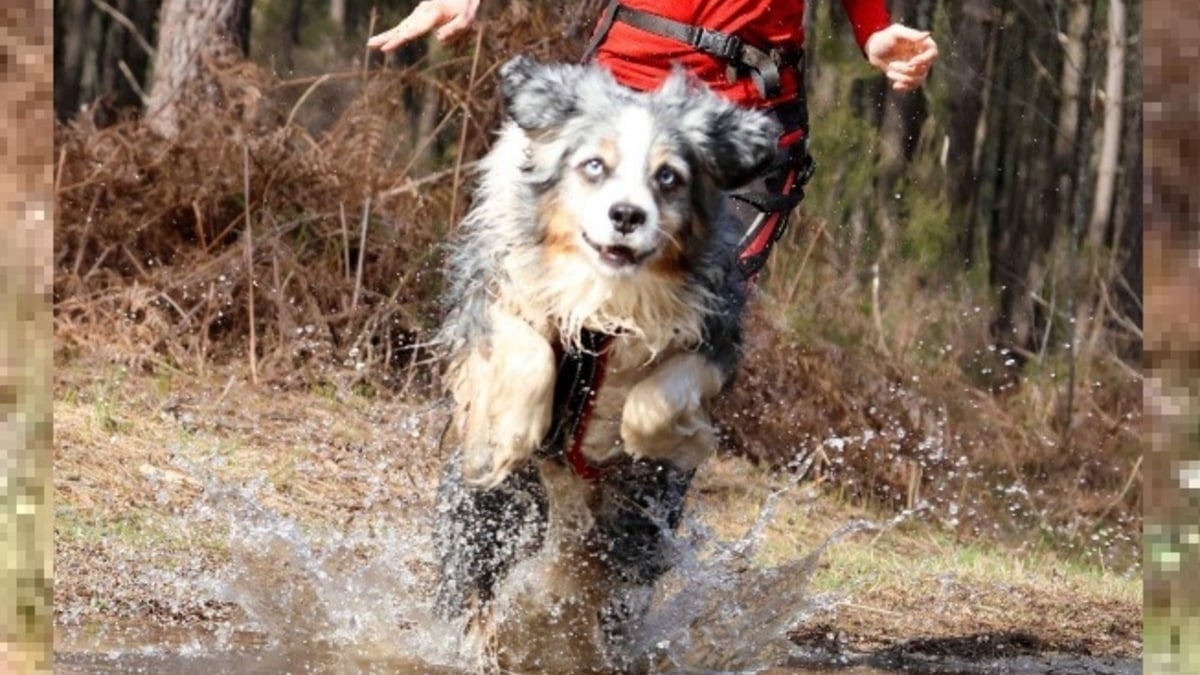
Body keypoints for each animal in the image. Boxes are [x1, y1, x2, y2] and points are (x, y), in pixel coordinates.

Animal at [432, 57, 777, 667]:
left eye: (669, 177)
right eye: (594, 165)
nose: (626, 215)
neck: (607, 295)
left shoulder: (715, 329)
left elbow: (660, 397)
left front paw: (671, 439)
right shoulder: (491, 289)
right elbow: (527, 354)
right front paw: (512, 433)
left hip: (631, 541)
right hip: (488, 518)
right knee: (474, 589)